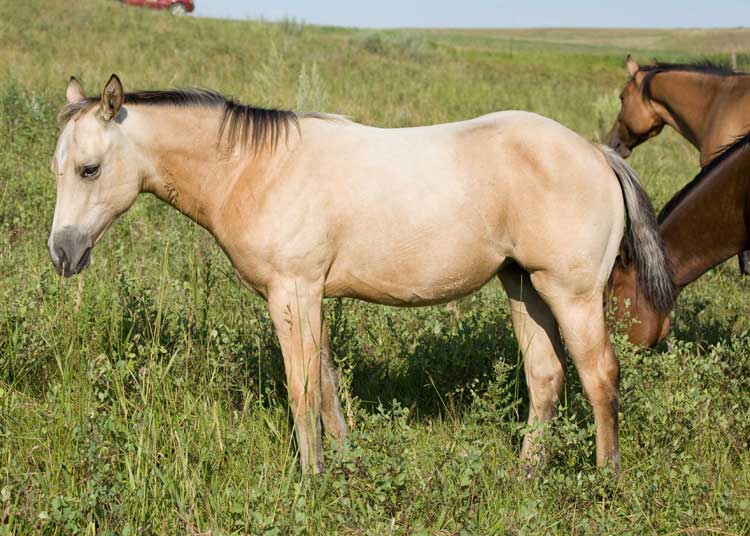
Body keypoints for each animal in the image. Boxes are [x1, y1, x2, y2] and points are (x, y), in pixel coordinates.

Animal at [48, 74, 674, 475]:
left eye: (89, 169)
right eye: (58, 168)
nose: (61, 254)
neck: (258, 169)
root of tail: (597, 155)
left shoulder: (292, 294)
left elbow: (302, 389)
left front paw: (311, 479)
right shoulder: (311, 297)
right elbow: (327, 386)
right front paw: (344, 465)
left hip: (572, 295)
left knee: (600, 377)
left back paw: (606, 480)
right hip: (525, 288)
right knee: (546, 377)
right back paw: (527, 476)